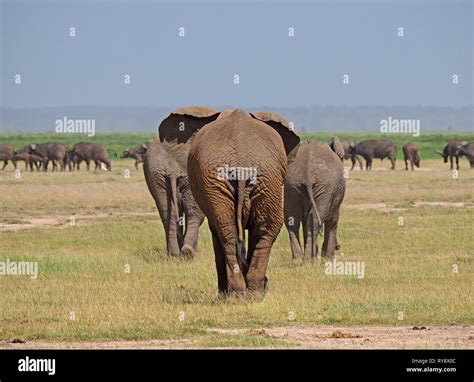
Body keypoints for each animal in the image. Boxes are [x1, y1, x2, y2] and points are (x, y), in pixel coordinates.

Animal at [143, 106, 219, 258]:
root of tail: (172, 168)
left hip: (155, 174)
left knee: (167, 213)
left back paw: (174, 255)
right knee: (194, 213)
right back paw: (188, 253)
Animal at [186, 109, 300, 296]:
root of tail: (241, 163)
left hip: (263, 179)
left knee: (238, 230)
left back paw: (246, 293)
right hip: (248, 180)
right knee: (249, 230)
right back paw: (249, 292)